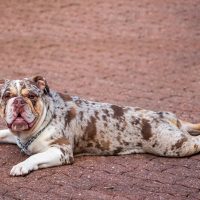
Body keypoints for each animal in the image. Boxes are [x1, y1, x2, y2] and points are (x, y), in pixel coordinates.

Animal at [0, 76, 200, 176]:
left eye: (31, 96)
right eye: (6, 96)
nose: (18, 101)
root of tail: (165, 116)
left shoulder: (61, 151)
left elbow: (35, 157)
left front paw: (22, 166)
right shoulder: (13, 134)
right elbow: (3, 132)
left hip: (175, 145)